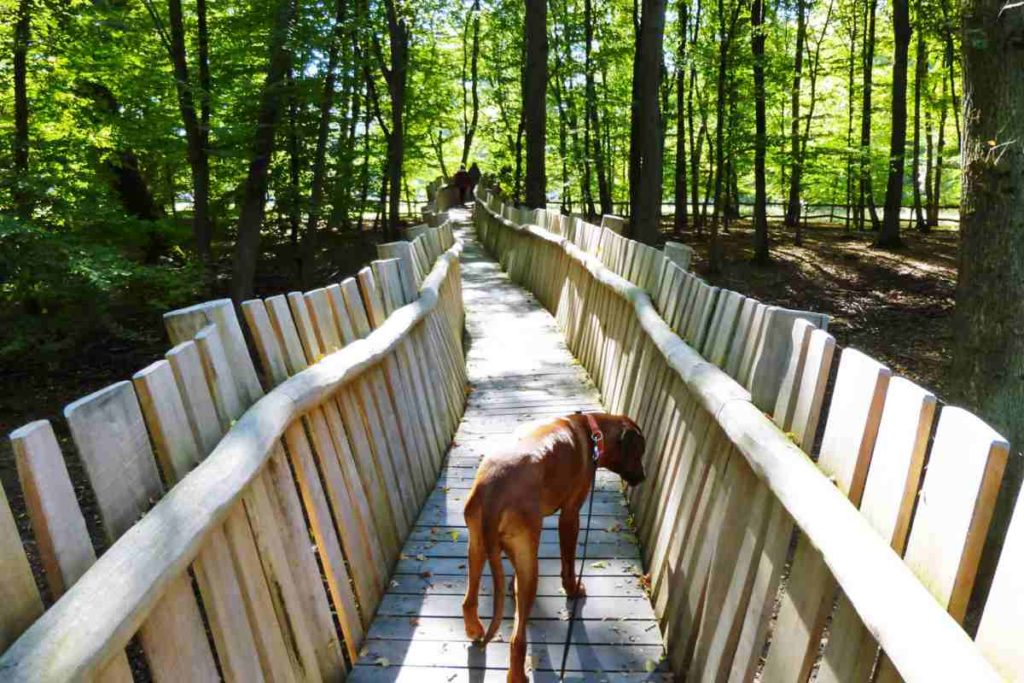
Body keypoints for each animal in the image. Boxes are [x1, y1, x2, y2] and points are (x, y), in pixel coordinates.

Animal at [460, 413, 643, 679]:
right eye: (640, 452)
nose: (644, 477)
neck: (592, 431)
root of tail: (494, 487)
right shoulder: (570, 516)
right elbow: (568, 561)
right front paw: (572, 588)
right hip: (528, 564)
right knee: (517, 639)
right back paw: (517, 676)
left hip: (477, 547)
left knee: (468, 601)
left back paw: (474, 629)